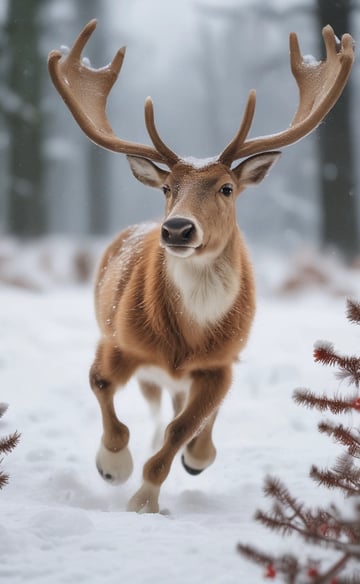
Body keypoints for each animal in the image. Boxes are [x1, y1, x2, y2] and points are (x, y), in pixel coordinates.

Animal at [48, 19, 354, 512]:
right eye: (167, 188)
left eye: (226, 187)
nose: (176, 228)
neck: (184, 340)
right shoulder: (116, 339)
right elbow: (101, 385)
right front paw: (113, 467)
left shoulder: (220, 364)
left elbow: (182, 428)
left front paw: (145, 499)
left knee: (190, 417)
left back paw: (197, 455)